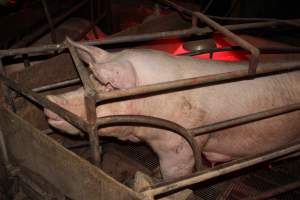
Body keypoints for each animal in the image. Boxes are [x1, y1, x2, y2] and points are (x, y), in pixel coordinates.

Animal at [44, 42, 300, 180]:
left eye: (108, 87)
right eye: (88, 79)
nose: (50, 101)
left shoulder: (181, 144)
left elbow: (174, 173)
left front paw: (160, 177)